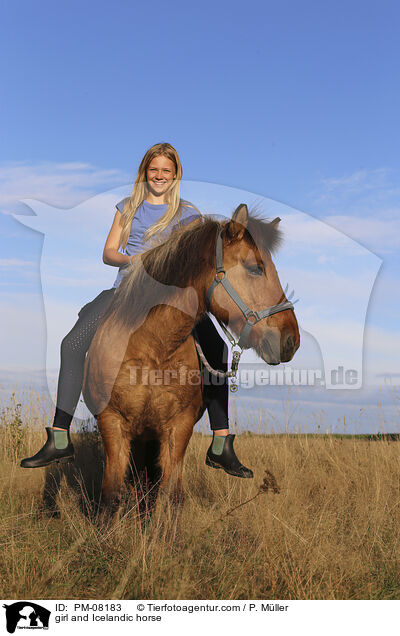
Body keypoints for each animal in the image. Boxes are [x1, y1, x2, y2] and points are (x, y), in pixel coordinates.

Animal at [82, 204, 300, 512]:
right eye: (255, 269)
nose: (291, 340)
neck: (153, 346)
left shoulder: (179, 428)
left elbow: (170, 497)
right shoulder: (112, 423)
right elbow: (112, 496)